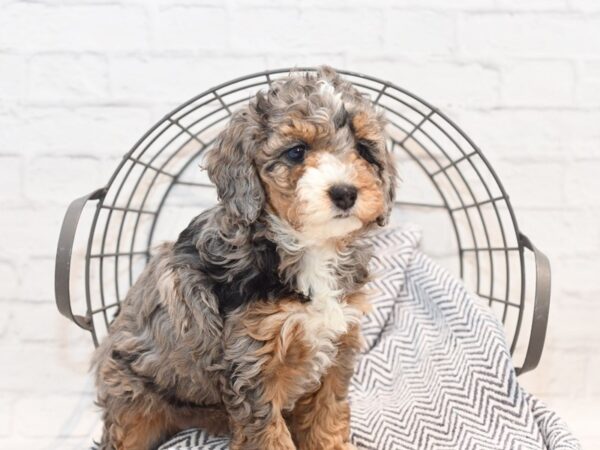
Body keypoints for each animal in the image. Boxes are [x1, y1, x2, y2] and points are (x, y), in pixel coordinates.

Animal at [92, 67, 394, 450]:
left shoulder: (338, 347)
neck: (308, 246)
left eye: (364, 150)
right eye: (297, 152)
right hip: (133, 400)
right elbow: (269, 436)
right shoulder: (251, 364)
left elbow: (327, 417)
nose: (345, 193)